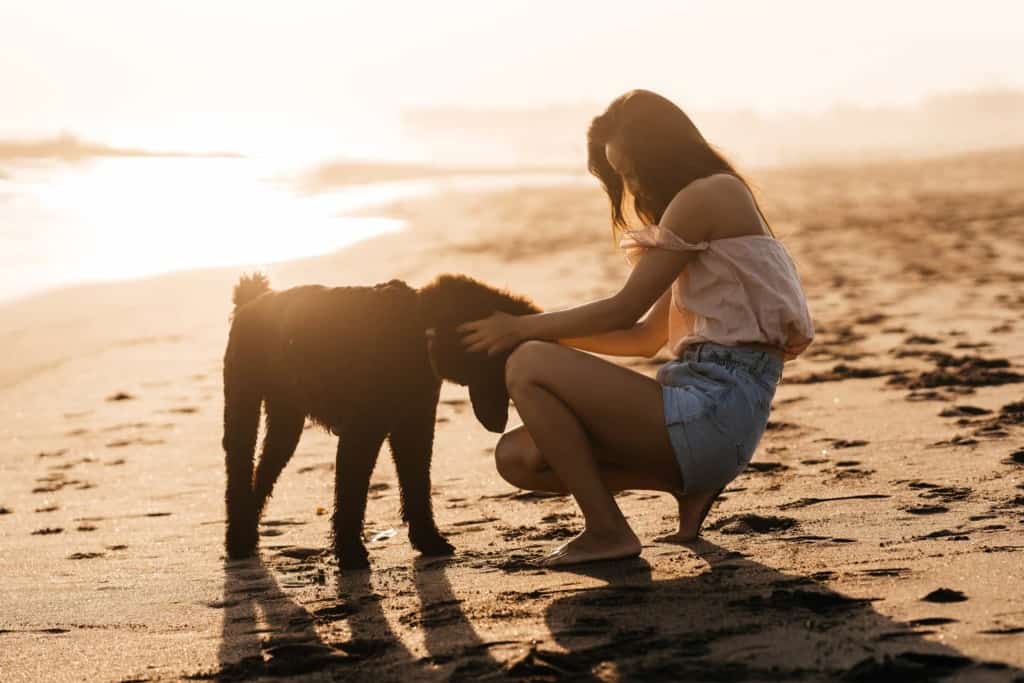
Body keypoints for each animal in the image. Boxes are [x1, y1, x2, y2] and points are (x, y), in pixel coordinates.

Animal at [223, 270, 540, 569]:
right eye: (498, 366)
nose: (500, 424)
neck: (416, 325)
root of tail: (251, 300)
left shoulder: (414, 427)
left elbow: (417, 486)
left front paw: (429, 540)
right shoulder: (360, 434)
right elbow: (351, 498)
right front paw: (351, 555)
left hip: (285, 420)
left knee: (263, 472)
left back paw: (247, 533)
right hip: (243, 405)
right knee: (239, 470)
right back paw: (237, 541)